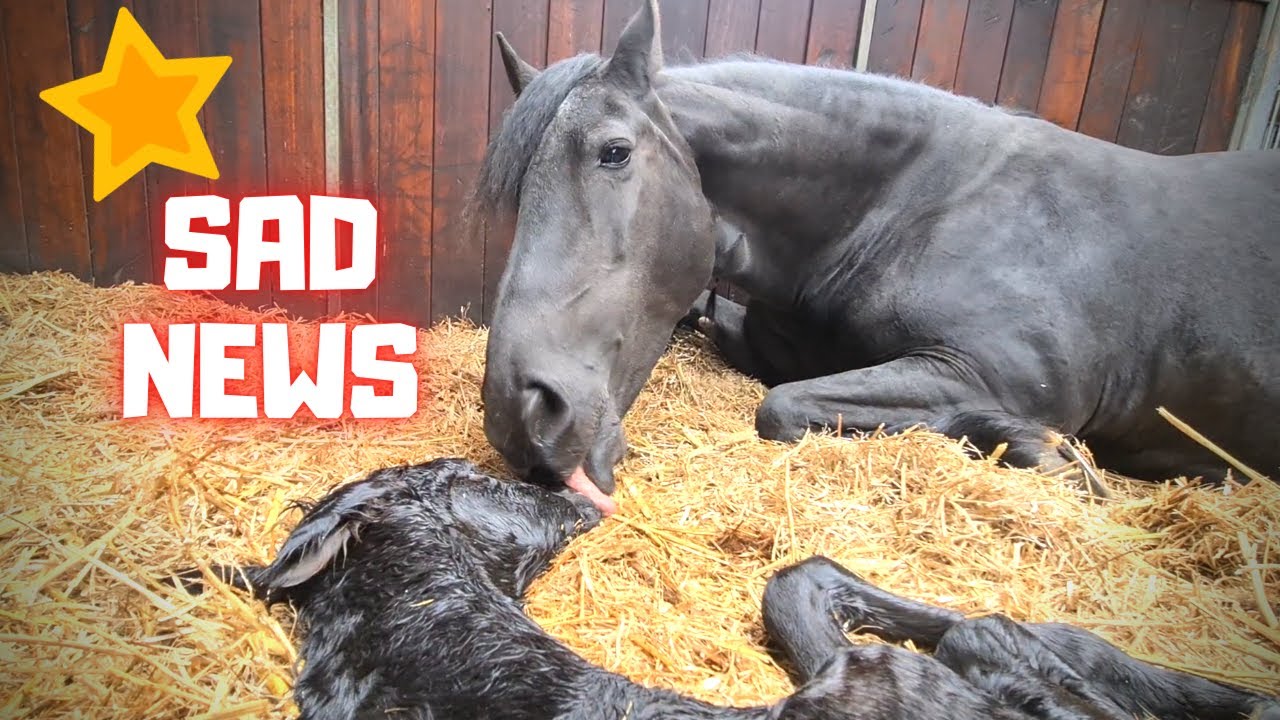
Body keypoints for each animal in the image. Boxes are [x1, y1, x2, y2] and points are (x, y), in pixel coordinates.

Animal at [474, 0, 1280, 512]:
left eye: (613, 153)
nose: (520, 412)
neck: (910, 205)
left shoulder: (978, 371)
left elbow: (782, 406)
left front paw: (1049, 453)